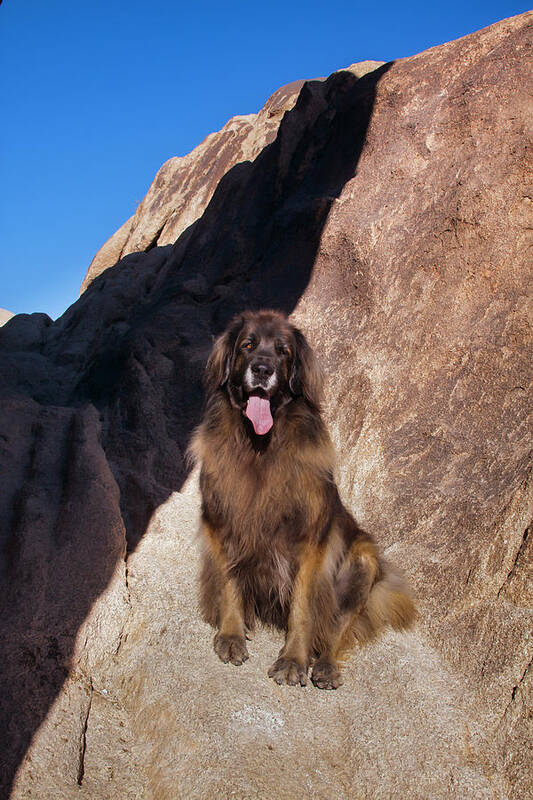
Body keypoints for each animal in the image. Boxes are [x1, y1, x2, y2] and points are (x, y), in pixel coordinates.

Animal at [188, 308, 416, 688]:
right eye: (248, 345)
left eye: (283, 352)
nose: (262, 369)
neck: (261, 447)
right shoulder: (225, 522)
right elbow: (231, 584)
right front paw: (232, 635)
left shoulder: (311, 542)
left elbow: (303, 609)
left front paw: (293, 659)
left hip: (363, 563)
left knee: (336, 629)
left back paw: (324, 666)